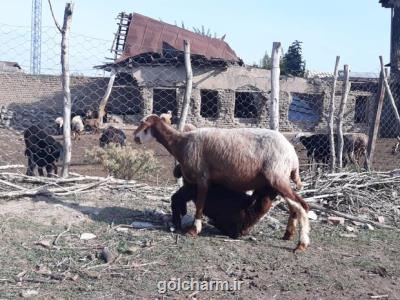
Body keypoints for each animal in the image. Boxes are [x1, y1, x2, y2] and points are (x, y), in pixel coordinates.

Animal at [134, 114, 310, 251]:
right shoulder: (193, 181)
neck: (181, 143)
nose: (135, 138)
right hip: (277, 181)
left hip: (277, 177)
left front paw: (194, 230)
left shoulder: (202, 178)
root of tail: (293, 156)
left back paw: (301, 244)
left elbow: (200, 205)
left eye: (143, 124)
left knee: (302, 205)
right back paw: (288, 235)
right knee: (294, 206)